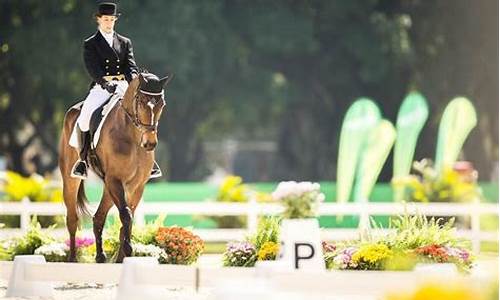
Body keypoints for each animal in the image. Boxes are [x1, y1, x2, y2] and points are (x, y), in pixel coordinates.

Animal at [59, 72, 170, 262]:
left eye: (161, 104)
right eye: (141, 101)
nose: (150, 143)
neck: (133, 137)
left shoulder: (136, 186)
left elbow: (128, 218)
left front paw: (122, 258)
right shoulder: (115, 180)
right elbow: (126, 215)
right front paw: (128, 249)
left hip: (109, 188)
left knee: (98, 217)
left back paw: (100, 256)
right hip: (71, 180)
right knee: (72, 218)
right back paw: (73, 259)